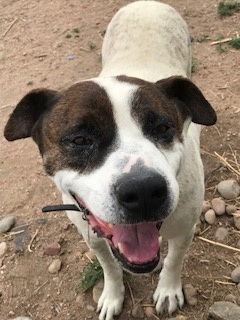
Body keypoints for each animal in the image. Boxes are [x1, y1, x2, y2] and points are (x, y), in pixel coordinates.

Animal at [4, 1, 218, 318]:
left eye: (162, 128)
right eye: (80, 140)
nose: (143, 191)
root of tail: (147, 4)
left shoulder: (184, 231)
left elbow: (173, 261)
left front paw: (168, 290)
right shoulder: (92, 236)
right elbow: (110, 268)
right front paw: (112, 295)